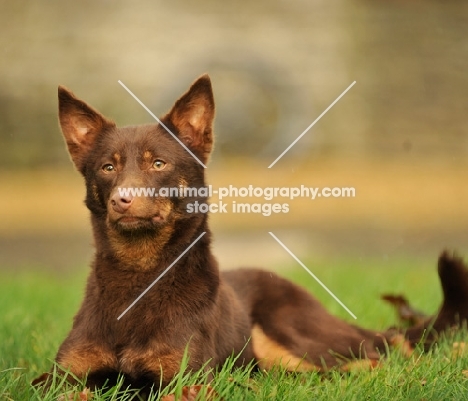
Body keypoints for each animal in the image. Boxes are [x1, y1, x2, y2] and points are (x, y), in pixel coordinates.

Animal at [34, 74, 468, 390]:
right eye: (107, 168)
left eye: (158, 163)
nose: (121, 201)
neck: (140, 276)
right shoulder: (60, 377)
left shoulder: (186, 378)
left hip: (293, 335)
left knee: (382, 349)